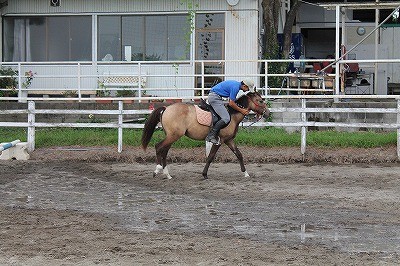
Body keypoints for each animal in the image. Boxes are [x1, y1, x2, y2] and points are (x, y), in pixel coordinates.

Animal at [142, 91, 270, 179]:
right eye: (260, 101)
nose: (267, 113)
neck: (232, 115)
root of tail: (166, 108)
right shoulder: (219, 141)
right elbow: (210, 156)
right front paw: (204, 174)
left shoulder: (229, 140)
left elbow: (239, 155)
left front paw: (246, 173)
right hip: (173, 136)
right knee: (159, 147)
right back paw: (157, 170)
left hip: (171, 136)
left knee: (164, 151)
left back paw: (167, 174)